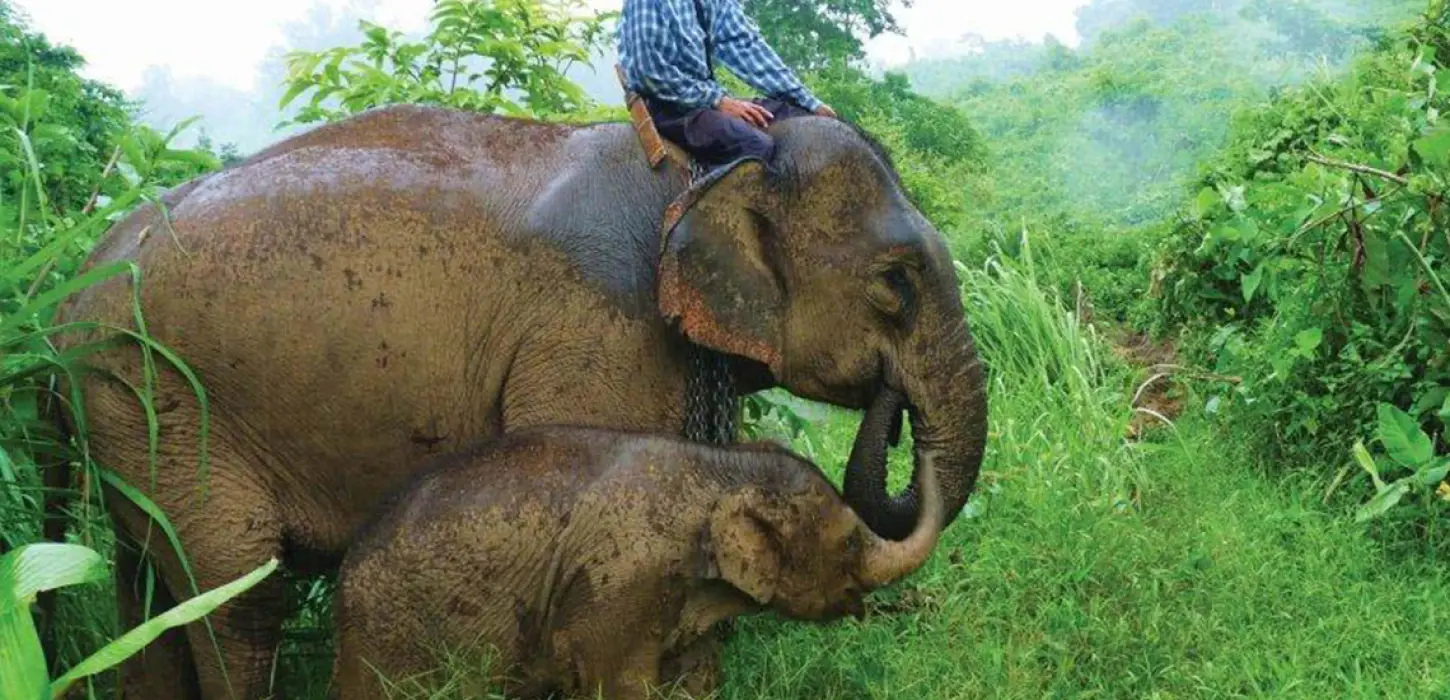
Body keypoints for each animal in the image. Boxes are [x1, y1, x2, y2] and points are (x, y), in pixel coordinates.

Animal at [331, 390, 941, 700]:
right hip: (391, 638)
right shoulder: (625, 577)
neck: (718, 468)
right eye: (849, 542)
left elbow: (695, 674)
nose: (907, 416)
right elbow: (617, 679)